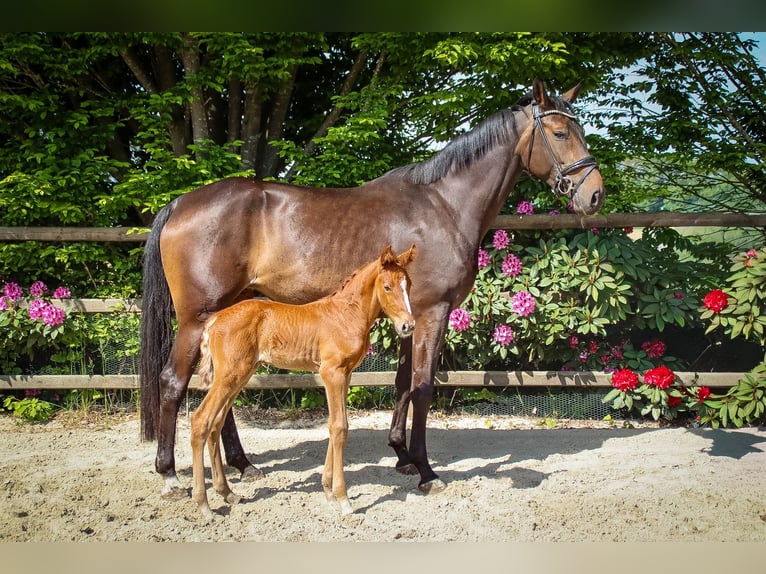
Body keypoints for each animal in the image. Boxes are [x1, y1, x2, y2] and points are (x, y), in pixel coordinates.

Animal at [190, 245, 416, 519]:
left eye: (408, 284)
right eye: (387, 287)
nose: (408, 326)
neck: (346, 314)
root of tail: (214, 320)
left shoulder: (346, 374)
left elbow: (334, 425)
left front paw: (328, 491)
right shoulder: (332, 372)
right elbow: (340, 427)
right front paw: (343, 500)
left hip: (239, 375)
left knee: (215, 423)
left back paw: (228, 493)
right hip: (229, 375)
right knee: (200, 420)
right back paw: (203, 505)